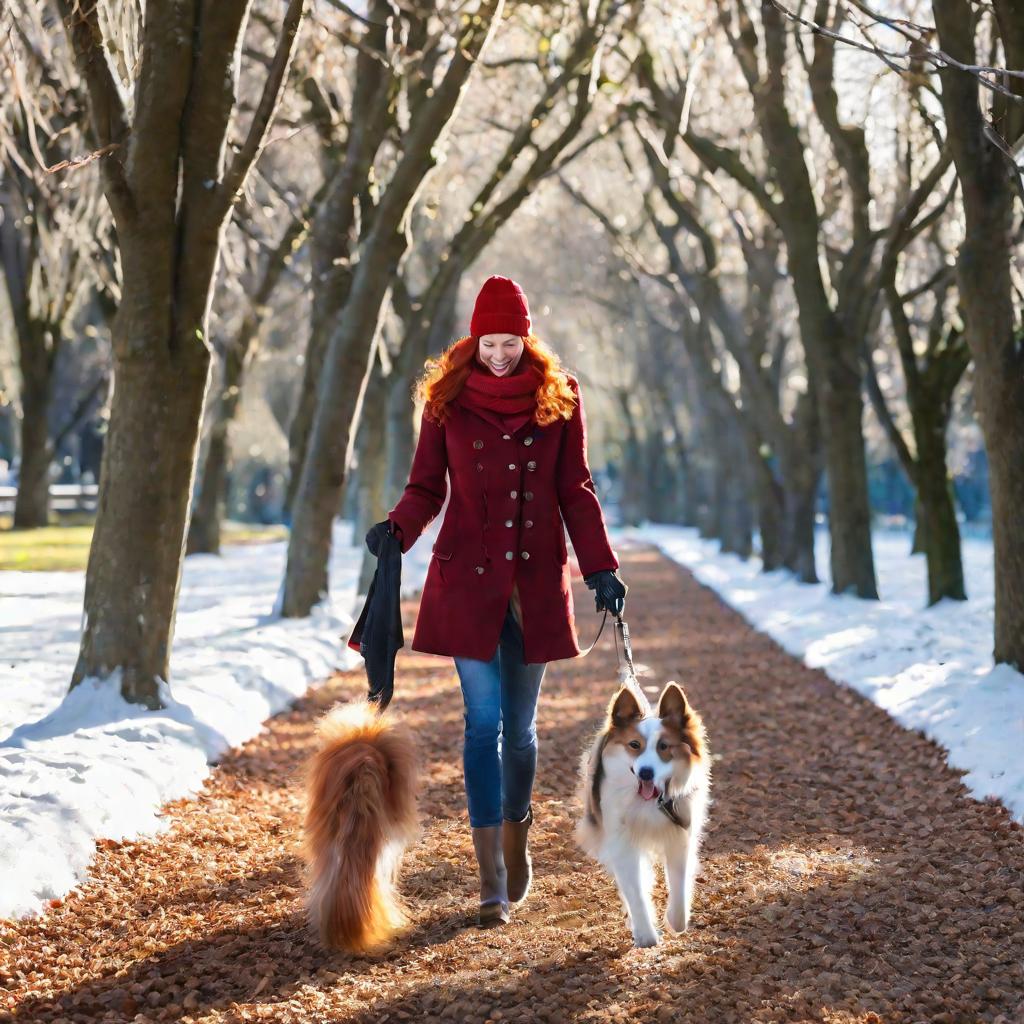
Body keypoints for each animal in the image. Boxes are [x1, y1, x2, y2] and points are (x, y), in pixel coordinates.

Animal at [577, 684, 712, 946]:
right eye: (634, 745)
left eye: (664, 747)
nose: (646, 773)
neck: (650, 801)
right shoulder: (621, 842)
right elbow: (635, 890)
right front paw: (646, 934)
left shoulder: (680, 836)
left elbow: (679, 886)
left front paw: (674, 921)